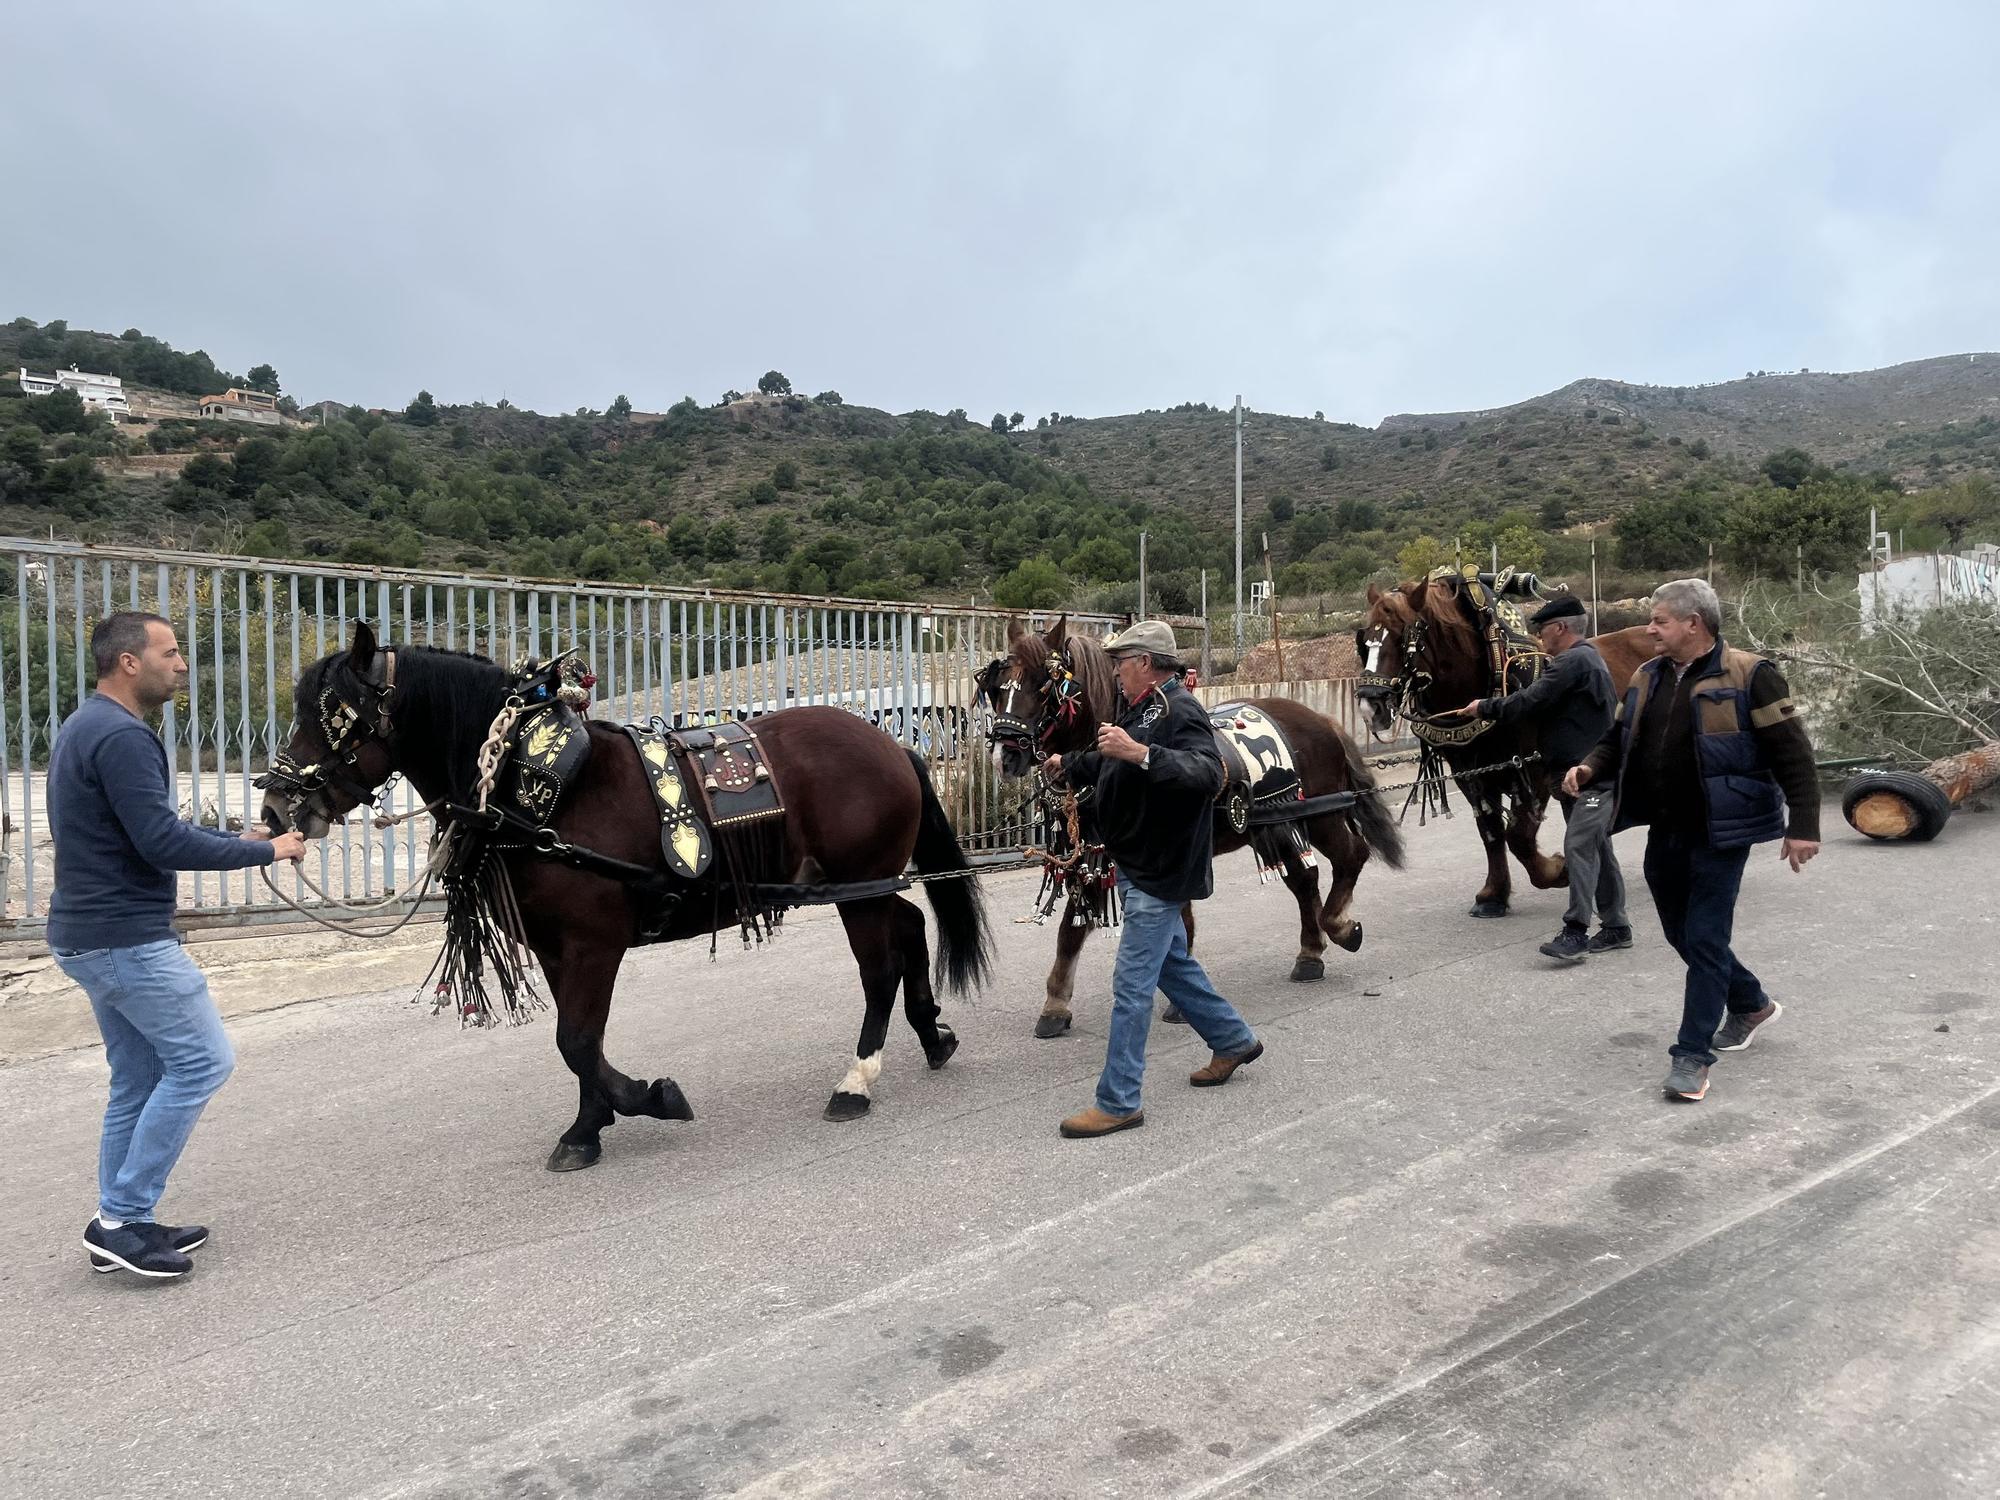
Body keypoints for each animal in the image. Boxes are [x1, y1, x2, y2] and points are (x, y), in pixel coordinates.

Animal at [258, 624, 992, 1176]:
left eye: (333, 716)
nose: (274, 808)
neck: (530, 787)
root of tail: (891, 742)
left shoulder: (594, 942)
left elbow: (578, 1039)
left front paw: (649, 1098)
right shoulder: (557, 948)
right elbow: (577, 1041)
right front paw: (588, 1126)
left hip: (858, 887)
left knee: (880, 968)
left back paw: (856, 1080)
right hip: (858, 886)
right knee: (911, 927)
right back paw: (934, 1035)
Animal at [976, 616, 1400, 1040]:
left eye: (1042, 686)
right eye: (999, 687)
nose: (1004, 755)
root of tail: (1321, 719)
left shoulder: (1165, 853)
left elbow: (1177, 921)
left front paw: (1182, 998)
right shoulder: (1092, 858)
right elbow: (1071, 930)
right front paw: (1055, 1005)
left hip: (1321, 817)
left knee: (1351, 856)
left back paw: (1339, 926)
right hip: (1277, 824)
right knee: (1304, 879)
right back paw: (1310, 952)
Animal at [1360, 568, 1656, 924]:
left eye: (1401, 638)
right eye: (1364, 639)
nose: (1370, 707)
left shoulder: (1532, 768)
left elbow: (1519, 836)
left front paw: (1558, 870)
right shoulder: (1471, 773)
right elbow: (1490, 831)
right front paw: (1494, 895)